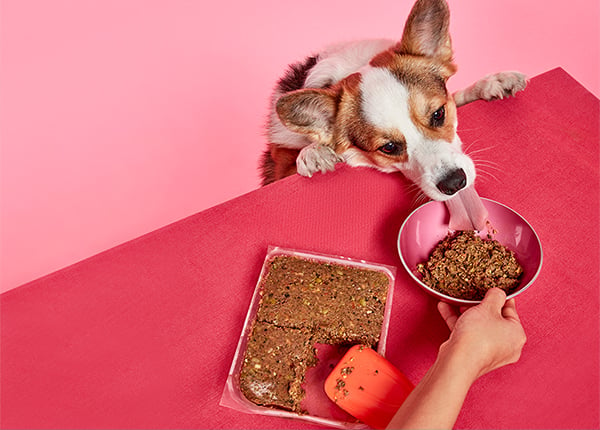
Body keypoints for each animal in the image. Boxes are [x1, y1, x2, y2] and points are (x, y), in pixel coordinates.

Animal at [262, 0, 524, 207]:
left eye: (438, 114)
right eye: (388, 148)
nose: (455, 183)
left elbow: (458, 95)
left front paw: (490, 83)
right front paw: (314, 153)